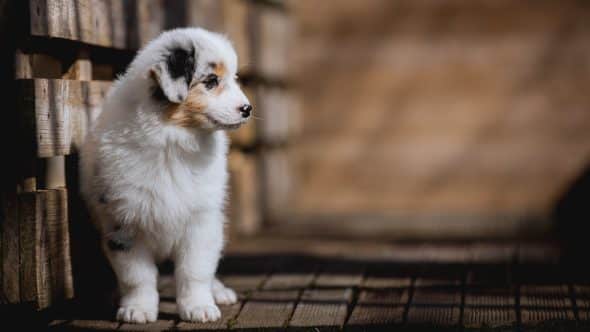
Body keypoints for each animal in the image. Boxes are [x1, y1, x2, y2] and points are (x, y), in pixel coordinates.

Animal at [79, 28, 252, 324]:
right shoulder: (123, 222)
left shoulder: (201, 220)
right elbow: (137, 276)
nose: (247, 109)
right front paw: (137, 309)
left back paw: (219, 291)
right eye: (211, 81)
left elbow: (195, 270)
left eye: (234, 79)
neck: (173, 140)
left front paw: (198, 307)